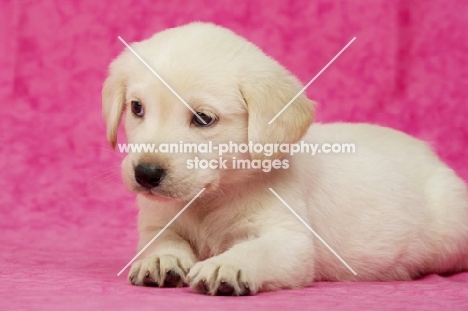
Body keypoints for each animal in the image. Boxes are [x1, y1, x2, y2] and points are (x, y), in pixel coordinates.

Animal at [102, 23, 468, 296]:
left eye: (203, 118)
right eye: (137, 108)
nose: (146, 173)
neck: (212, 198)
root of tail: (429, 152)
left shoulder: (290, 240)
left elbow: (258, 249)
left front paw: (228, 264)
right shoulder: (156, 224)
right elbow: (162, 241)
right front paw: (162, 260)